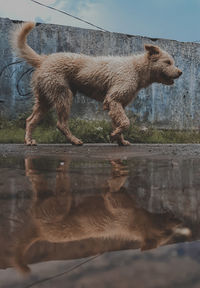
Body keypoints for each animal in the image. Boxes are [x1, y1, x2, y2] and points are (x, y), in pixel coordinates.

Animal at [10, 22, 183, 146]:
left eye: (173, 62)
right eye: (168, 62)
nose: (180, 72)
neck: (136, 68)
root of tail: (44, 59)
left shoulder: (115, 104)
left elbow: (119, 123)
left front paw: (120, 140)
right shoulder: (114, 100)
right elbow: (125, 122)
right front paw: (114, 135)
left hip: (45, 99)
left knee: (30, 120)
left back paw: (29, 140)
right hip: (63, 95)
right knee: (61, 124)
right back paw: (74, 140)